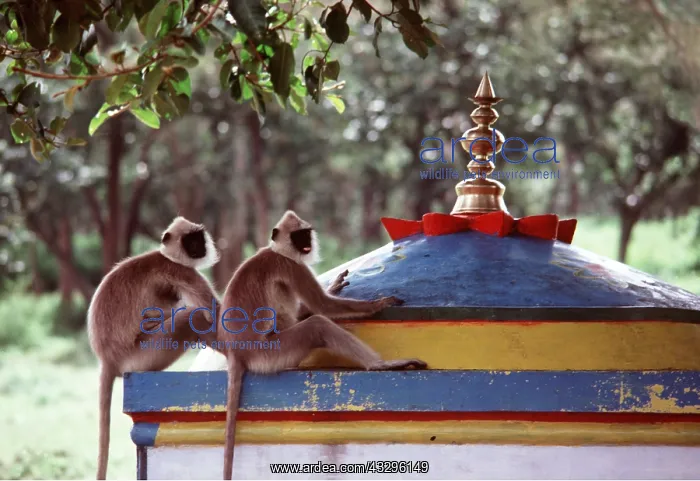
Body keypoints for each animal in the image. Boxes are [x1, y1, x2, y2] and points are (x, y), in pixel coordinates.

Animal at [87, 217, 221, 480]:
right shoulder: (181, 271)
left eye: (198, 237)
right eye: (190, 240)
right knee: (191, 316)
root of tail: (107, 359)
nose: (200, 247)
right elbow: (215, 314)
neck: (167, 257)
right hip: (144, 354)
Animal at [215, 210, 427, 479]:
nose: (306, 242)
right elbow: (322, 306)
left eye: (306, 233)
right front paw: (378, 304)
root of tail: (235, 351)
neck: (278, 252)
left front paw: (334, 287)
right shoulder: (292, 267)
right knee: (318, 325)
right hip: (269, 354)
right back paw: (380, 365)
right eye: (298, 235)